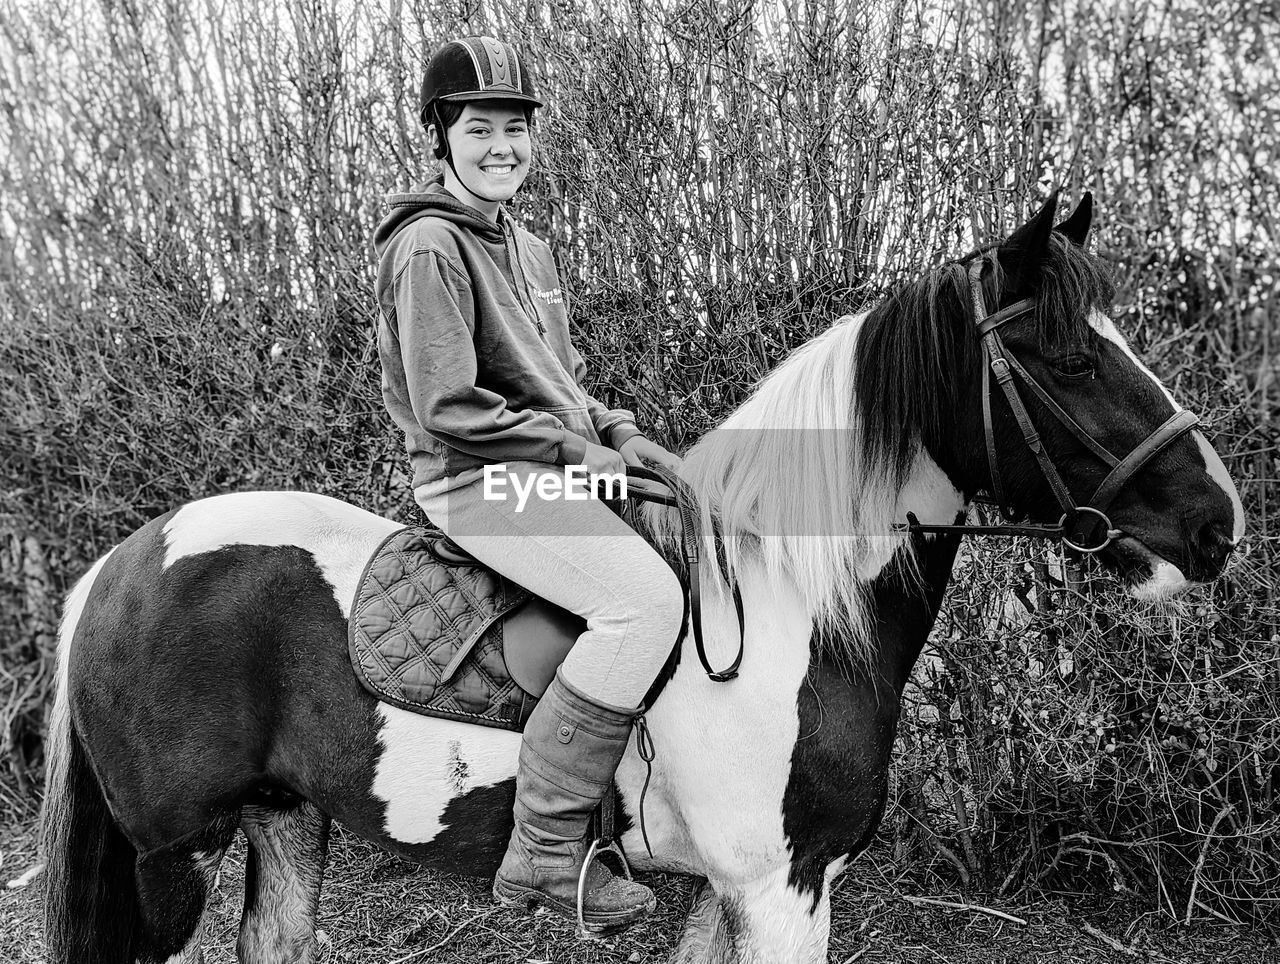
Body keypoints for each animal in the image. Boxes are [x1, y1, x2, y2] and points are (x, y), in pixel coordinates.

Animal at [37, 197, 1239, 962]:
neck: (790, 610)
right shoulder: (781, 890)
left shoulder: (732, 894)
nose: (1215, 523)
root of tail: (120, 563)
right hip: (168, 859)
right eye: (1071, 358)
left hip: (282, 823)